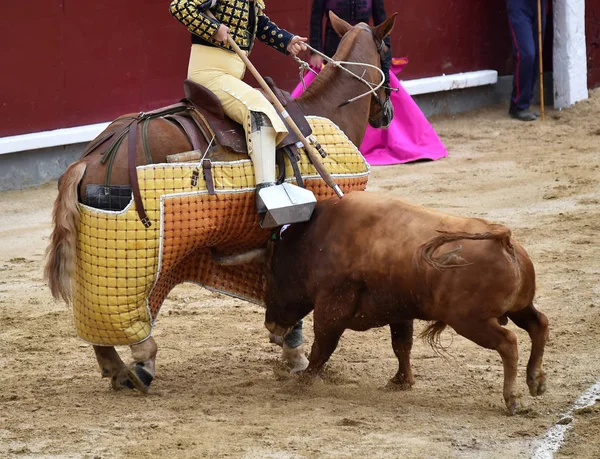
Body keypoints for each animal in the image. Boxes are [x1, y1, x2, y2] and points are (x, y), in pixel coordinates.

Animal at [43, 11, 398, 392]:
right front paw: (297, 356)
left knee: (96, 316)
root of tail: (90, 158)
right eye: (388, 53)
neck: (324, 113)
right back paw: (143, 363)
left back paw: (120, 372)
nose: (388, 113)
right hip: (133, 254)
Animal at [216, 192, 548, 416]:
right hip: (518, 308)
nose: (271, 325)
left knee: (509, 342)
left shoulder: (331, 306)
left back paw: (513, 398)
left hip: (471, 321)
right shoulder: (399, 310)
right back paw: (535, 381)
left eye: (268, 276)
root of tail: (503, 240)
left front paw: (305, 380)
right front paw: (401, 381)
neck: (314, 240)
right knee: (539, 325)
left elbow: (322, 345)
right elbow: (402, 345)